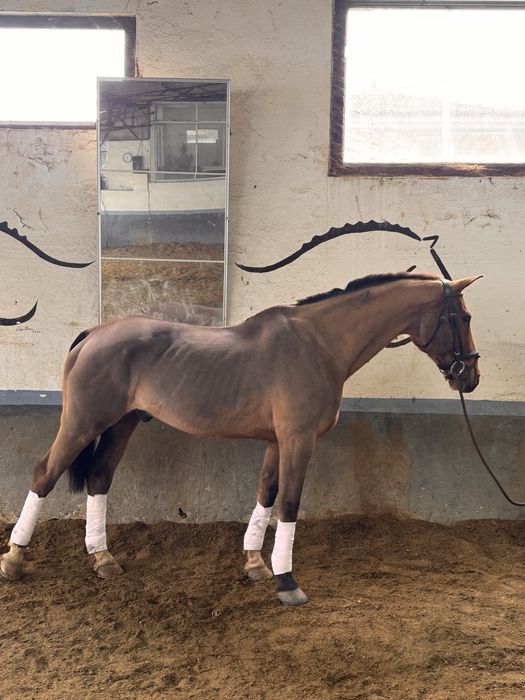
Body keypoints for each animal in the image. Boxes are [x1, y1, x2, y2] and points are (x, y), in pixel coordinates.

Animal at [0, 271, 481, 605]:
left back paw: (102, 558)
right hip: (82, 423)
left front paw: (255, 564)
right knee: (43, 474)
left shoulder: (276, 442)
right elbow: (289, 503)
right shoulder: (299, 440)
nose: (471, 376)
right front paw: (287, 582)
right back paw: (14, 559)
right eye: (464, 317)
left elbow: (265, 494)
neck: (319, 344)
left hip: (123, 424)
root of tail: (95, 333)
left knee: (99, 477)